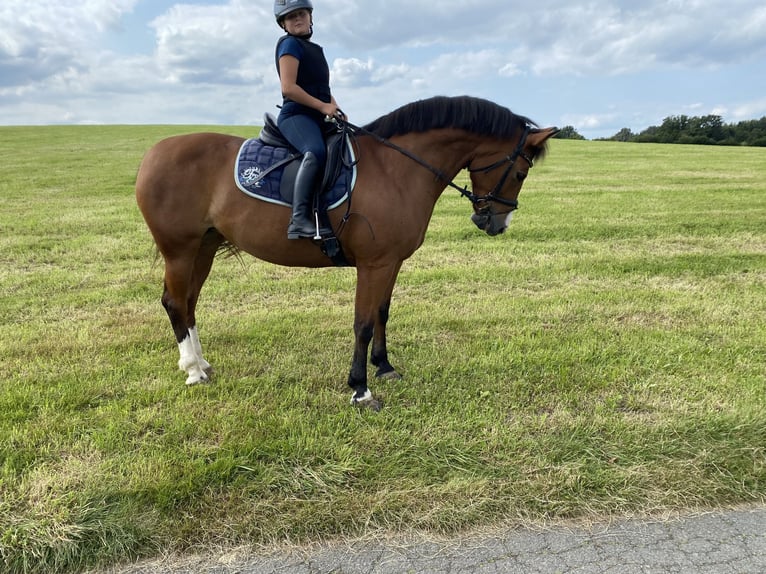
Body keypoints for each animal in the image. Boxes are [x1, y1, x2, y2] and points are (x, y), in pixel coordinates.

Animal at [136, 94, 560, 410]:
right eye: (520, 172)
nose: (495, 224)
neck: (395, 169)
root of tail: (154, 153)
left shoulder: (391, 262)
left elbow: (383, 313)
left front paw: (384, 366)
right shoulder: (373, 265)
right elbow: (363, 323)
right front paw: (361, 388)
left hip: (203, 247)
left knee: (189, 303)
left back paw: (201, 363)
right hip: (180, 250)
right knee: (175, 302)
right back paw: (193, 370)